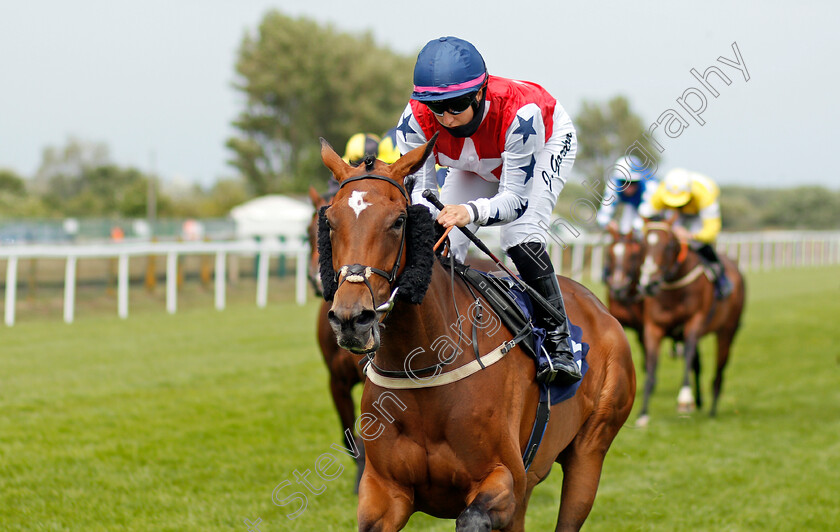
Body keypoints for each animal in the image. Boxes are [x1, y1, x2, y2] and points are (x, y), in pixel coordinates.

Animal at [318, 137, 632, 532]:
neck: (423, 367)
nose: (351, 319)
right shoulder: (384, 492)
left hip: (590, 452)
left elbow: (471, 517)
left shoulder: (504, 480)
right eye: (330, 221)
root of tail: (600, 309)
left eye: (398, 221)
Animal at [632, 216, 744, 428]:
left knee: (718, 371)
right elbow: (651, 370)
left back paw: (711, 410)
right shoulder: (653, 328)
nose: (649, 284)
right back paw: (699, 402)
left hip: (727, 332)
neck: (673, 288)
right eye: (642, 245)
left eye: (669, 245)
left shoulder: (694, 323)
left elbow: (688, 359)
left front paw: (684, 400)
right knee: (698, 365)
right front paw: (642, 414)